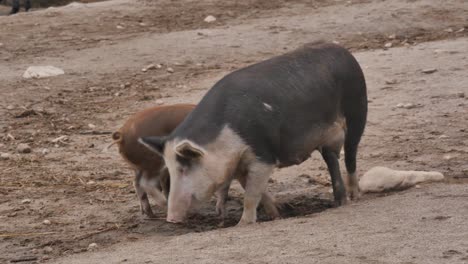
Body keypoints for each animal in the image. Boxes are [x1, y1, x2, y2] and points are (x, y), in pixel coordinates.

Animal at [139, 41, 366, 225]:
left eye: (183, 168)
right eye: (169, 168)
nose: (171, 218)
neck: (226, 136)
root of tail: (343, 51)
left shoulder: (262, 155)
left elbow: (251, 195)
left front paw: (242, 224)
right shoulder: (239, 164)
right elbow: (258, 192)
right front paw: (277, 215)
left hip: (357, 110)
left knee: (350, 156)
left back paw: (354, 196)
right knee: (332, 159)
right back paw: (339, 201)